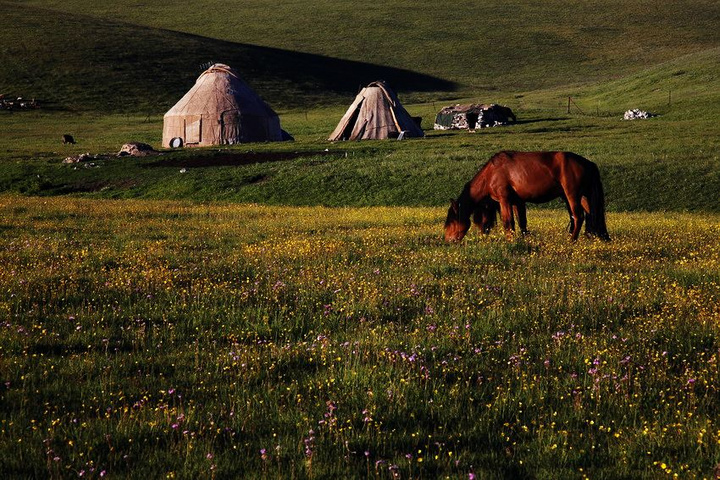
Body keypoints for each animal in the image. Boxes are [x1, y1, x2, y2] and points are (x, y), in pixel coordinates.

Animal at [444, 151, 608, 242]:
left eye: (452, 221)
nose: (448, 240)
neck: (492, 173)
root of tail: (589, 163)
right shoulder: (517, 202)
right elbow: (522, 222)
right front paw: (523, 239)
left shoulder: (505, 200)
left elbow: (508, 222)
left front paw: (510, 241)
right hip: (584, 197)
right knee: (591, 215)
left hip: (572, 195)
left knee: (578, 216)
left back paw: (572, 240)